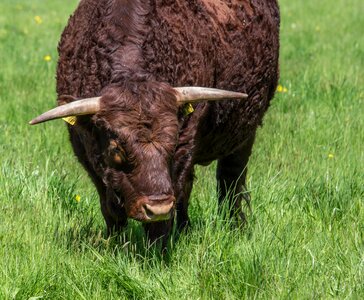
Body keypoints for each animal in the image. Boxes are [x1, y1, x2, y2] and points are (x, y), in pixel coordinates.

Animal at [32, 0, 282, 244]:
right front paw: (116, 244)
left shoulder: (185, 146)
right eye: (117, 149)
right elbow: (110, 209)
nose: (158, 208)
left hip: (245, 133)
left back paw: (234, 227)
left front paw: (157, 250)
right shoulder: (86, 151)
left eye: (173, 142)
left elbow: (164, 217)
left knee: (230, 183)